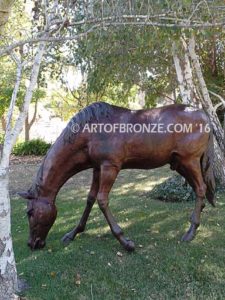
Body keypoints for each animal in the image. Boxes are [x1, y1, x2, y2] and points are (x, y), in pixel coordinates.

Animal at [18, 102, 215, 252]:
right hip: (180, 164)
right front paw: (73, 233)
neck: (90, 132)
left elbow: (102, 200)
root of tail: (204, 116)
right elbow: (90, 199)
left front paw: (125, 242)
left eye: (29, 212)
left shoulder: (110, 167)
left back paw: (191, 231)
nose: (32, 243)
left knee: (200, 189)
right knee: (199, 190)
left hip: (189, 161)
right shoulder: (97, 169)